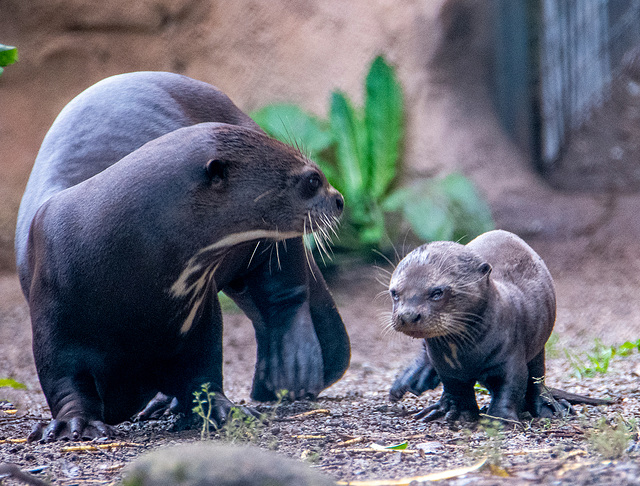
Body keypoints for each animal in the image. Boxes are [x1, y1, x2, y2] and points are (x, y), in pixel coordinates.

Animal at [15, 71, 350, 440]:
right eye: (312, 180)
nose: (339, 199)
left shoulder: (198, 311)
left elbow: (203, 367)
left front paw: (223, 409)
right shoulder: (53, 313)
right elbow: (63, 378)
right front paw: (76, 423)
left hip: (271, 248)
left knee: (285, 293)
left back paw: (290, 373)